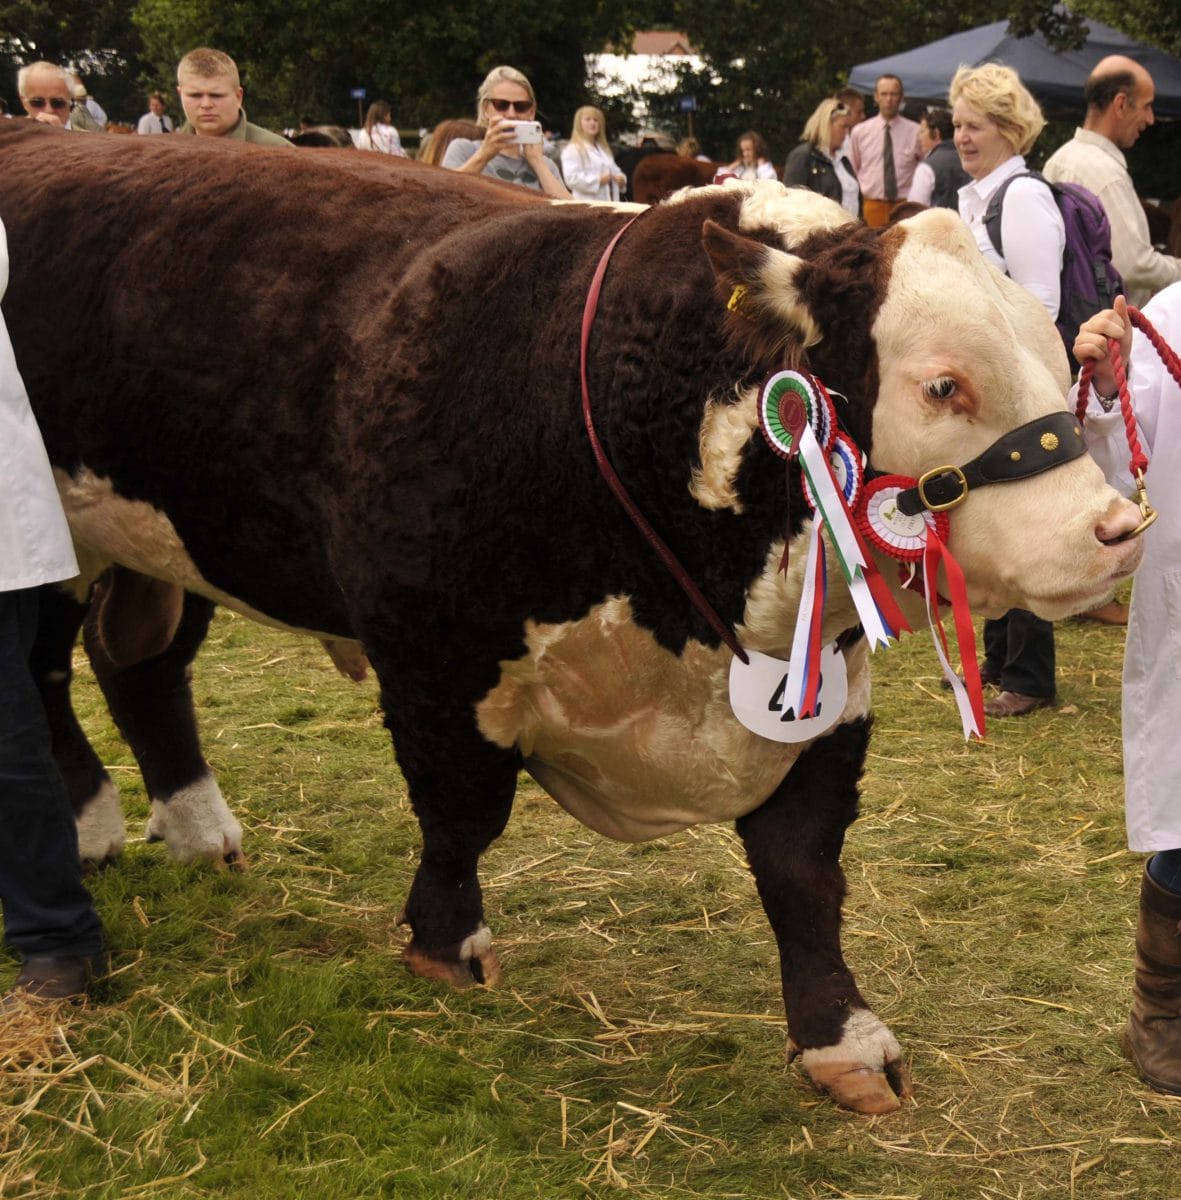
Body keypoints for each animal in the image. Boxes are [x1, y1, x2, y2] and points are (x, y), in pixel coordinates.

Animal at [0, 122, 1145, 1114]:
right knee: (48, 671)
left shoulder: (822, 687)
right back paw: (91, 826)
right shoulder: (433, 653)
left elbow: (801, 869)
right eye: (941, 384)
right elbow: (460, 813)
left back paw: (194, 830)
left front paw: (842, 1042)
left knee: (136, 661)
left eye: (1058, 353)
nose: (1112, 527)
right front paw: (445, 948)